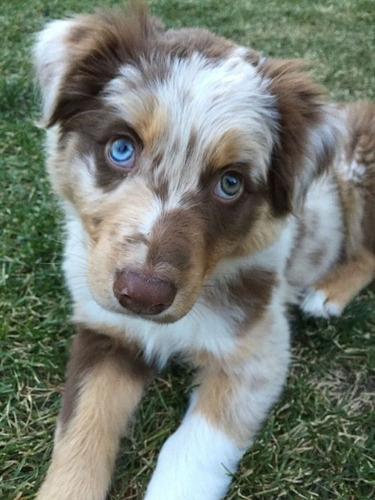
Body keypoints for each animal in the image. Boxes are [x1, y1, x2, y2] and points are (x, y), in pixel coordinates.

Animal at [33, 1, 375, 498]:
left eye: (230, 183)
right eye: (121, 148)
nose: (143, 296)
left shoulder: (257, 352)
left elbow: (189, 452)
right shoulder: (104, 331)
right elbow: (79, 427)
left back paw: (327, 294)